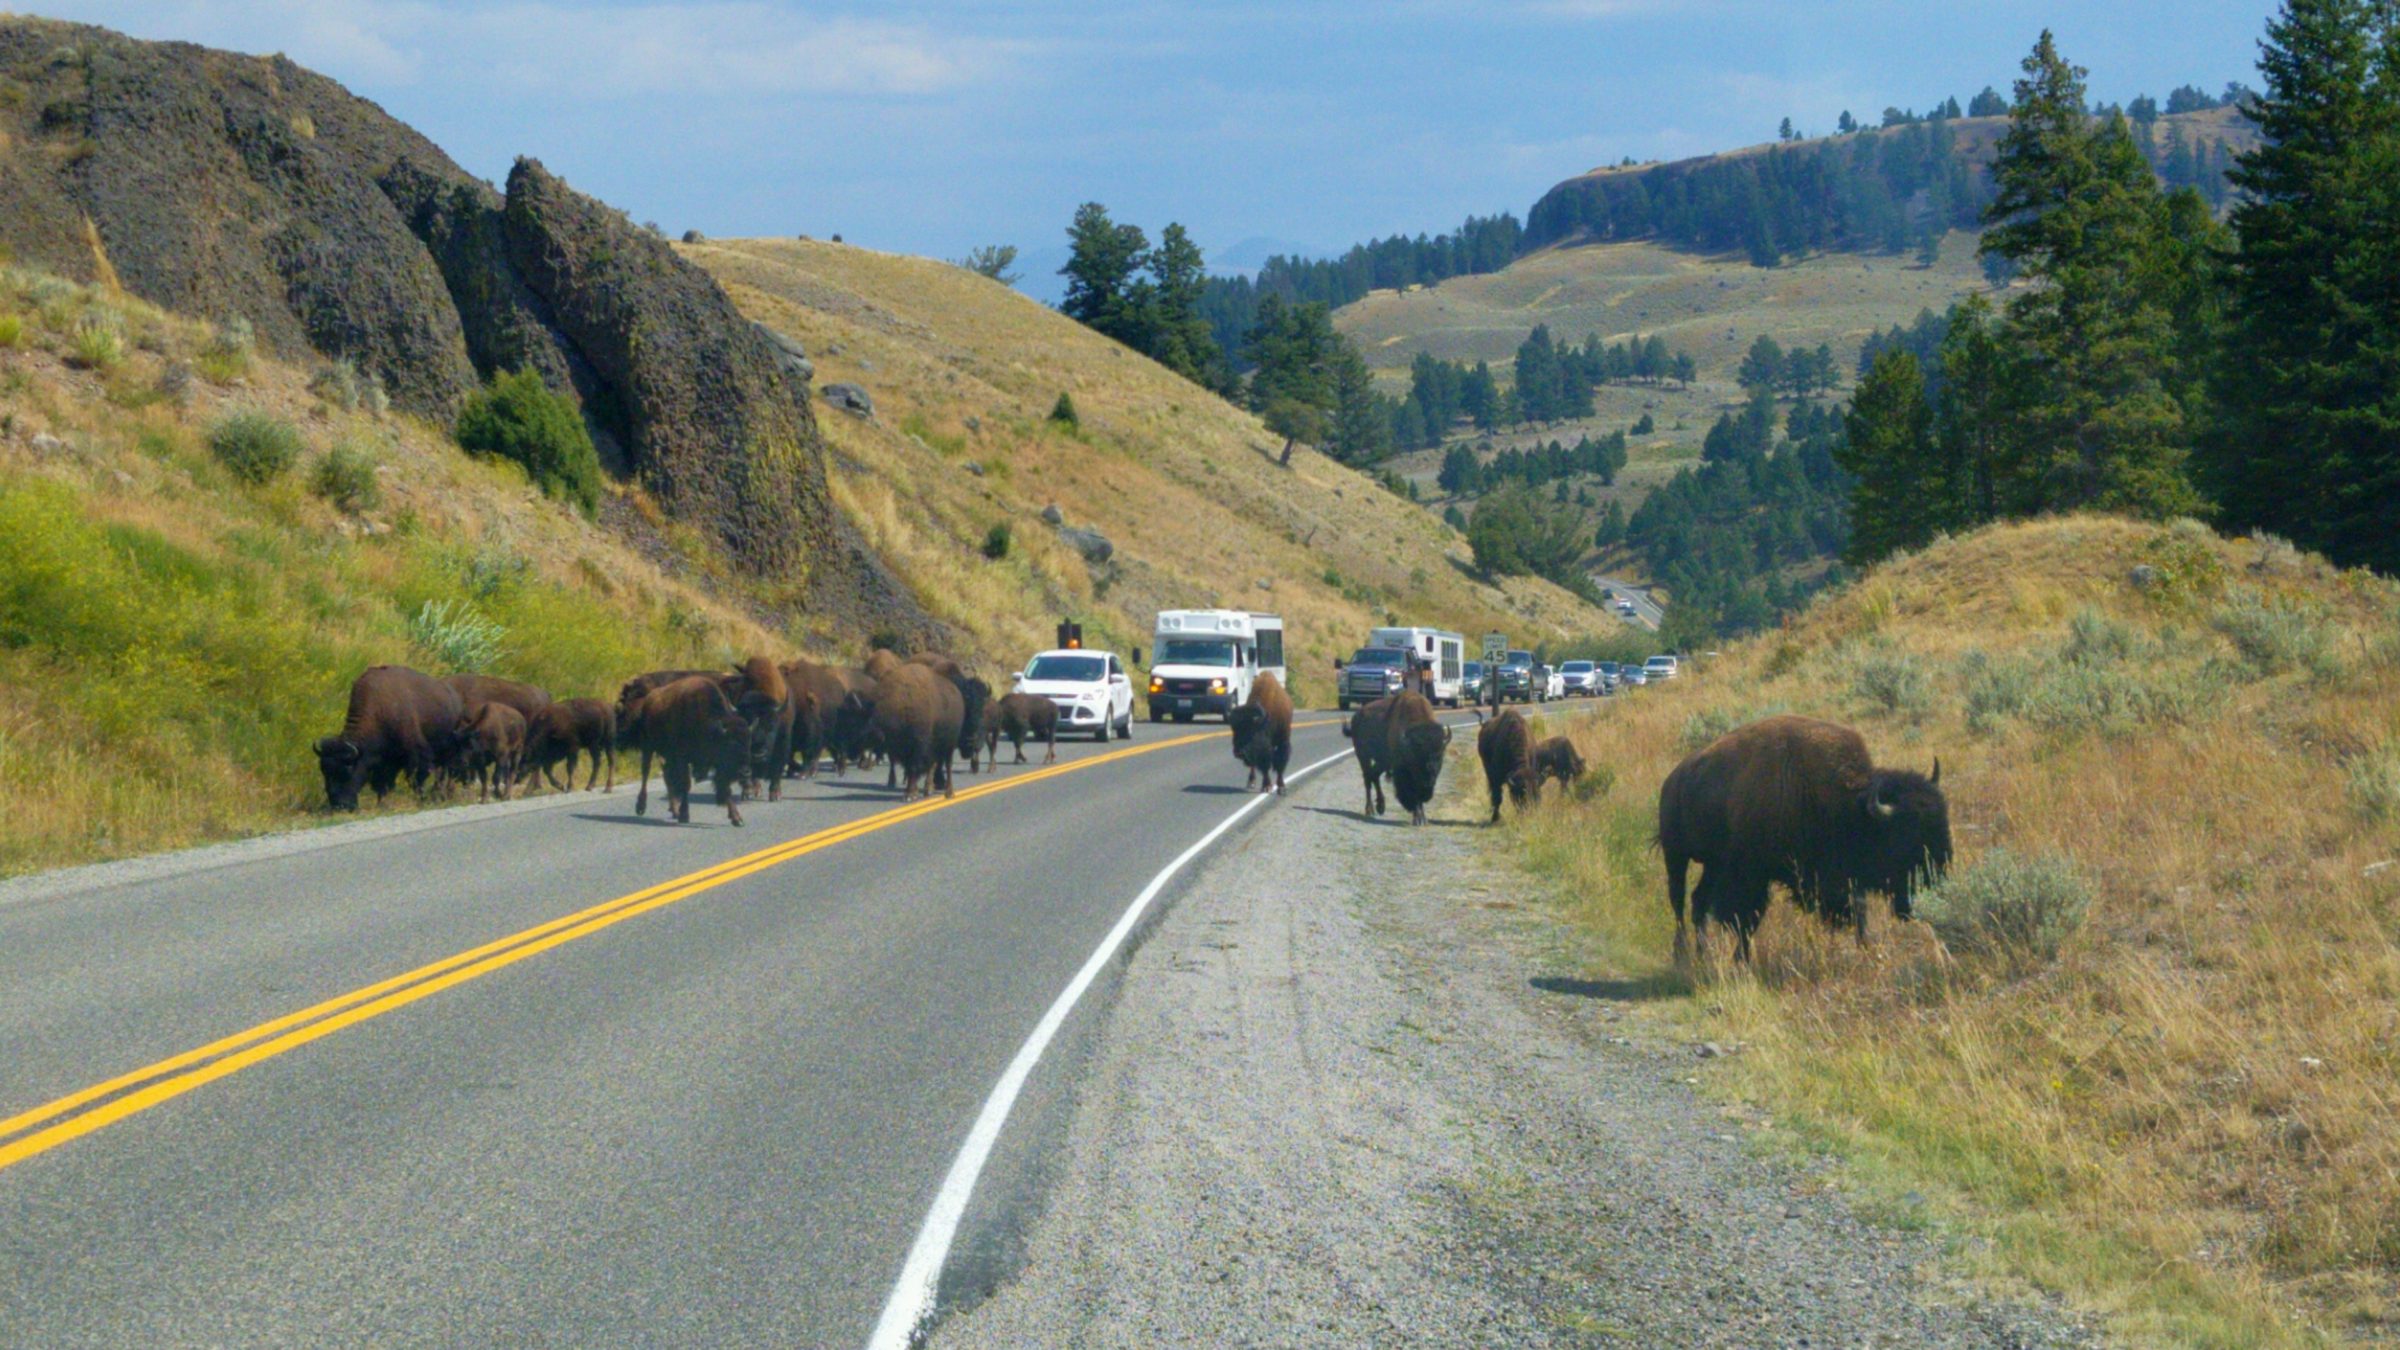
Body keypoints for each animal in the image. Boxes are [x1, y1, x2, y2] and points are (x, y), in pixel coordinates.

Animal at [312, 662, 456, 807]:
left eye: (348, 770)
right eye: (324, 771)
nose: (340, 805)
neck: (378, 710)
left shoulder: (417, 754)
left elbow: (416, 779)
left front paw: (421, 800)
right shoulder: (383, 760)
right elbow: (382, 784)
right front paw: (381, 803)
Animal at [628, 672, 748, 821]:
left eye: (748, 742)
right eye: (730, 744)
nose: (745, 772)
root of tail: (650, 698)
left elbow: (725, 786)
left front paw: (737, 818)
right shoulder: (683, 758)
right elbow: (685, 784)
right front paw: (684, 814)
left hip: (665, 755)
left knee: (667, 777)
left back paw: (674, 809)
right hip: (648, 747)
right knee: (646, 772)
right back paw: (641, 806)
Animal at [1660, 715, 1958, 956]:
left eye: (1943, 821)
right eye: (1908, 833)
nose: (1937, 879)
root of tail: (1674, 778)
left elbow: (1857, 909)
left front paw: (1869, 948)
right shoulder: (1749, 874)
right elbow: (1744, 918)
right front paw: (1742, 960)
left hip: (1711, 864)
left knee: (1698, 901)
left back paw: (1703, 954)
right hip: (1676, 855)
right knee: (1679, 900)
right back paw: (1683, 955)